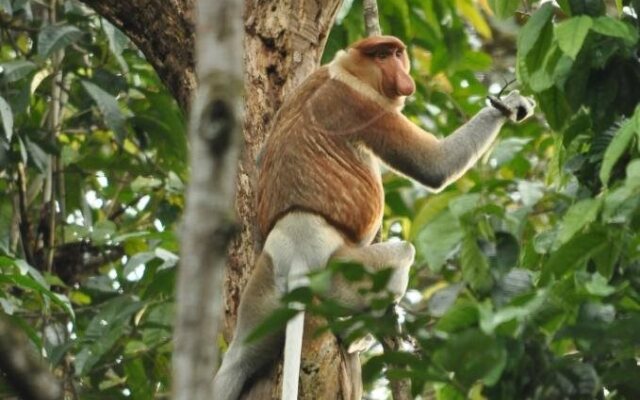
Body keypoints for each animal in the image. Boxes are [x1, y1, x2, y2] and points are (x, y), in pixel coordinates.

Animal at [214, 36, 536, 398]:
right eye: (382, 55)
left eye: (396, 53)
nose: (401, 74)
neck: (347, 71)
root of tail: (297, 246)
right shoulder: (366, 107)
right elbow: (433, 165)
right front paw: (510, 105)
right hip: (341, 271)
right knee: (401, 254)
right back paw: (357, 336)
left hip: (264, 288)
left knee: (237, 360)